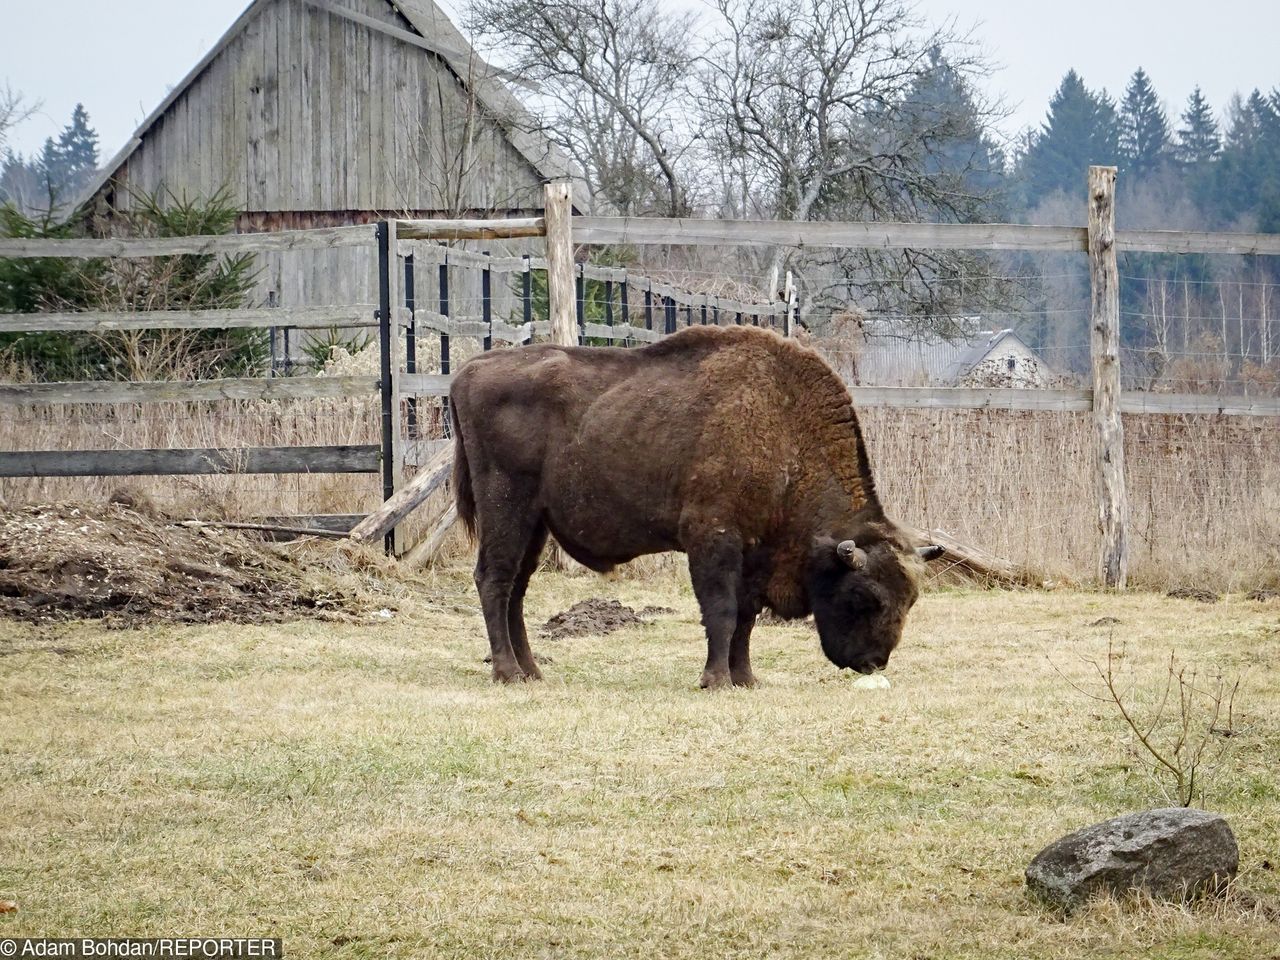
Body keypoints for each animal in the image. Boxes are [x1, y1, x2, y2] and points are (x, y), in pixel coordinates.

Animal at [450, 327, 942, 686]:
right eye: (865, 597)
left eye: (911, 599)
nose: (875, 662)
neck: (784, 433)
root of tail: (469, 370)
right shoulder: (712, 537)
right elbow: (721, 611)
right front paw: (716, 680)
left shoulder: (754, 555)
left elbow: (745, 617)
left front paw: (746, 679)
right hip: (506, 506)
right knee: (494, 580)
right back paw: (508, 673)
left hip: (535, 521)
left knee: (516, 588)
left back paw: (532, 671)